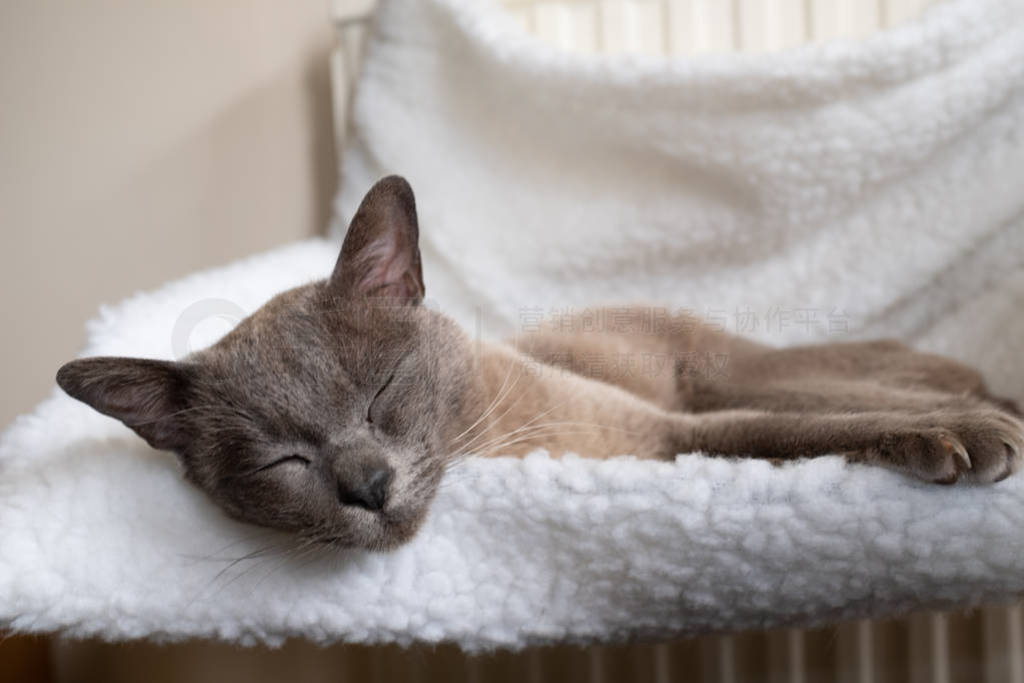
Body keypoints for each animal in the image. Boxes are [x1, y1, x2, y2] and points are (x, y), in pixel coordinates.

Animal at [56, 175, 1024, 548]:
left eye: (382, 392)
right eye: (280, 461)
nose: (367, 485)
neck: (495, 445)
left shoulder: (669, 435)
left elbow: (798, 429)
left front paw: (969, 435)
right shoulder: (672, 441)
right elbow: (797, 431)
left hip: (722, 369)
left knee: (864, 369)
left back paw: (981, 398)